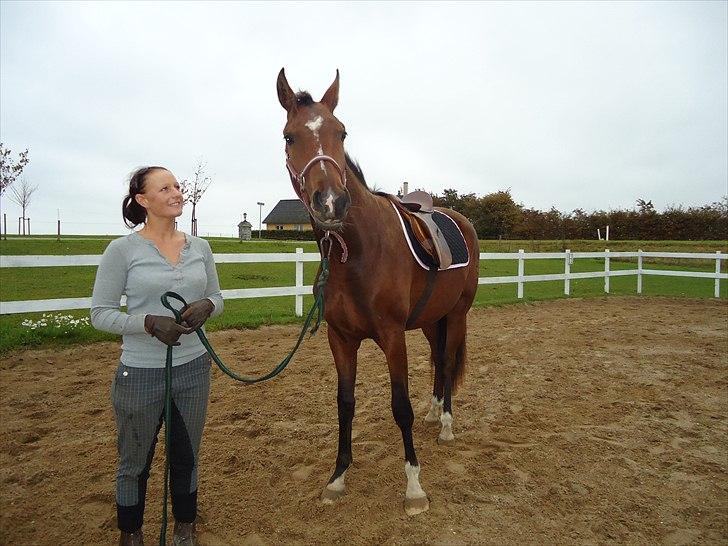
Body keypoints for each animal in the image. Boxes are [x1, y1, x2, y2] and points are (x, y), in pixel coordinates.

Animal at [276, 69, 480, 516]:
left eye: (342, 132)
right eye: (289, 136)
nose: (331, 202)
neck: (357, 251)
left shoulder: (391, 336)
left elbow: (399, 407)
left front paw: (414, 487)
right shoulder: (341, 339)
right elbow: (345, 404)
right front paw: (337, 477)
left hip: (456, 315)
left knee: (448, 360)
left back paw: (446, 425)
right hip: (430, 319)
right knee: (437, 360)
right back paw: (433, 411)